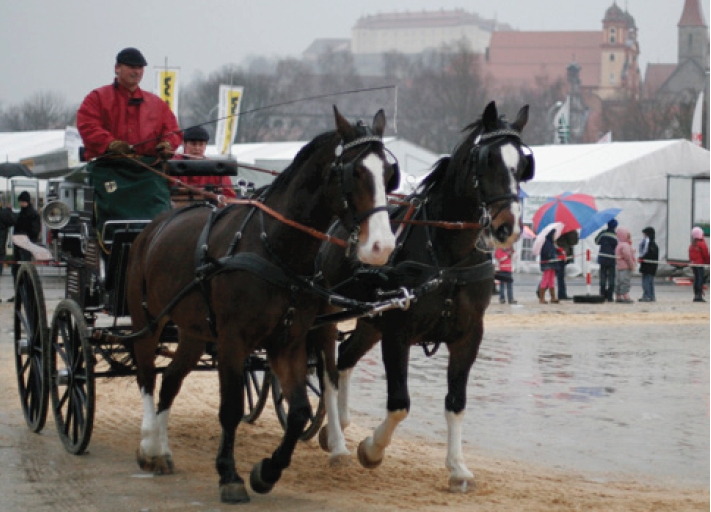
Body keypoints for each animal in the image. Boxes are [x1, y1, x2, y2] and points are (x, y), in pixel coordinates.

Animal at [124, 106, 398, 502]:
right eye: (354, 172)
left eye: (389, 174)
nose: (381, 247)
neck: (275, 249)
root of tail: (152, 226)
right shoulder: (232, 341)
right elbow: (231, 408)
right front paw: (230, 475)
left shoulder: (288, 342)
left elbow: (298, 412)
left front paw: (266, 472)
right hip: (147, 318)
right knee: (146, 376)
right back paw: (148, 445)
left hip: (194, 332)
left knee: (171, 379)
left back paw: (161, 449)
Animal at [312, 101, 536, 492]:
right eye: (488, 160)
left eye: (522, 165)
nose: (507, 228)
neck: (447, 257)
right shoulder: (398, 332)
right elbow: (399, 403)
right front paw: (372, 449)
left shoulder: (468, 335)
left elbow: (456, 401)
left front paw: (458, 468)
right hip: (330, 314)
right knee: (327, 370)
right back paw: (338, 441)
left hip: (370, 322)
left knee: (345, 359)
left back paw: (339, 423)